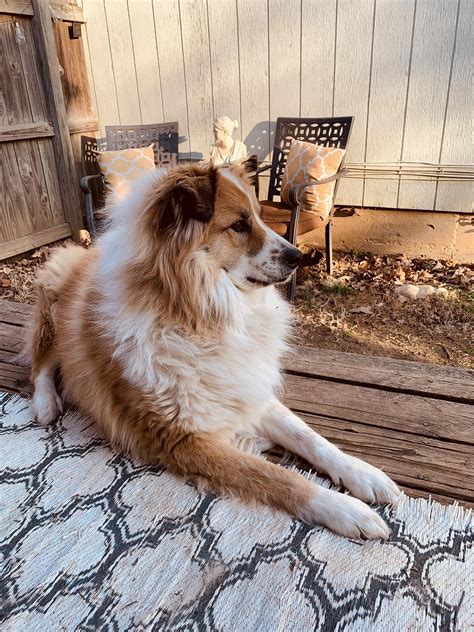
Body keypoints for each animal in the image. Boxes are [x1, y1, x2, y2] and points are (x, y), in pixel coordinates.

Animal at [29, 164, 400, 540]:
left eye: (261, 217)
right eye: (239, 225)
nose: (299, 257)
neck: (201, 316)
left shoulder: (244, 388)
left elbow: (309, 437)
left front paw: (363, 474)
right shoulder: (184, 439)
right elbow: (277, 476)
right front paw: (346, 509)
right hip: (53, 305)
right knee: (40, 364)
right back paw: (45, 404)